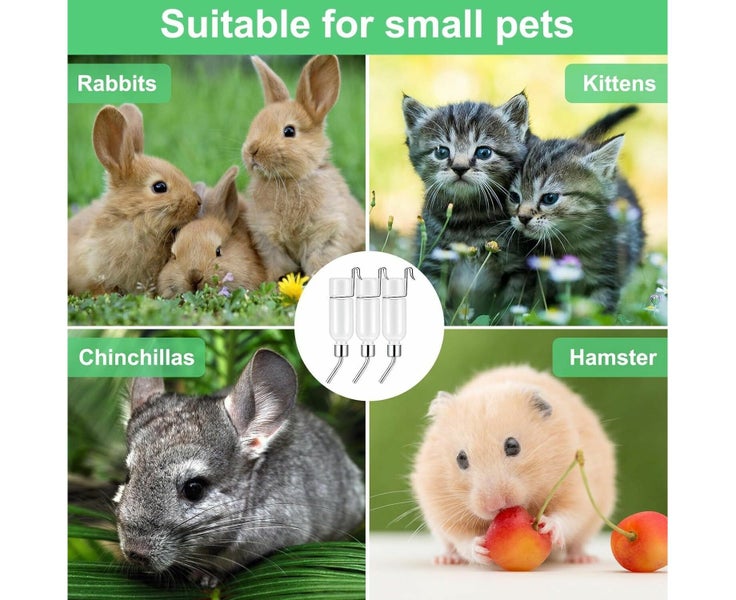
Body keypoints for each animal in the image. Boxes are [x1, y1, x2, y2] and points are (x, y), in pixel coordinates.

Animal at [242, 55, 365, 281]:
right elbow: (278, 266)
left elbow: (319, 262)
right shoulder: (268, 241)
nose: (251, 151)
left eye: (289, 131)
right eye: (255, 125)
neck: (289, 180)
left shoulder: (326, 235)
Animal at [411, 365, 615, 566]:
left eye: (512, 446)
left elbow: (569, 514)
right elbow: (461, 538)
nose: (495, 505)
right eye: (461, 458)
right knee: (450, 545)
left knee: (577, 543)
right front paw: (480, 548)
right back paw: (446, 560)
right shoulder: (442, 507)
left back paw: (583, 559)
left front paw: (547, 526)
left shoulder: (577, 488)